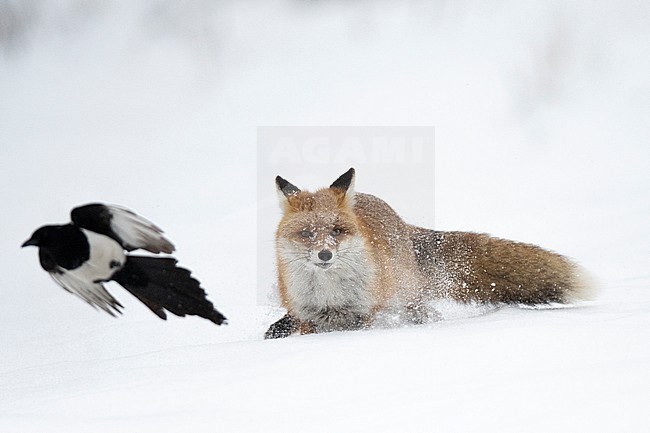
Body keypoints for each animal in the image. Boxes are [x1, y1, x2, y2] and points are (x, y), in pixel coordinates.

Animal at [264, 168, 592, 338]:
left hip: (407, 296)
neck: (330, 295)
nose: (325, 256)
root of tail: (398, 220)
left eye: (336, 231)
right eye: (307, 234)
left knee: (420, 310)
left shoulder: (364, 313)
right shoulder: (308, 317)